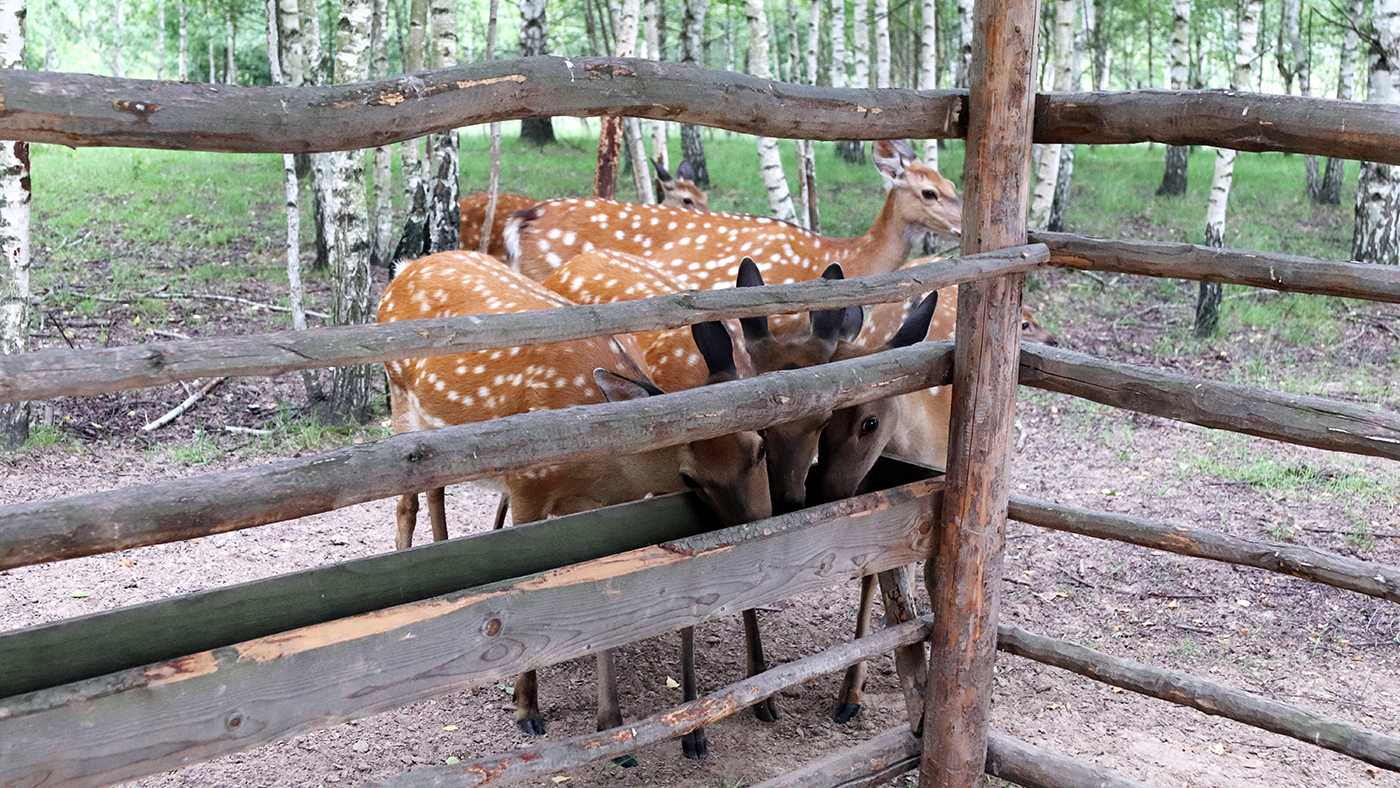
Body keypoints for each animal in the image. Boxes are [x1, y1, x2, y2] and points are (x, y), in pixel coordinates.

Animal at [378, 249, 772, 755]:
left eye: (758, 446)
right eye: (689, 476)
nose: (751, 523)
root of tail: (404, 269)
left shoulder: (592, 509)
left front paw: (614, 730)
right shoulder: (528, 484)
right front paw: (528, 710)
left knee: (435, 491)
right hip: (399, 401)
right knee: (405, 503)